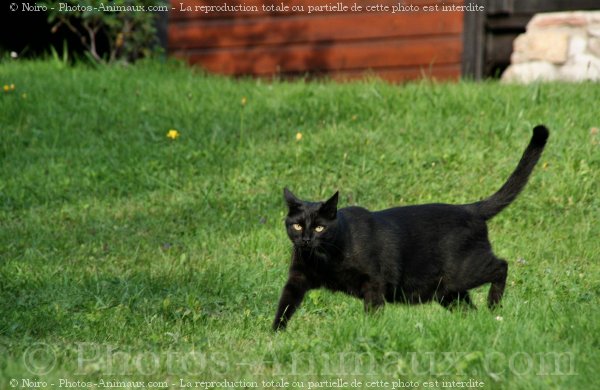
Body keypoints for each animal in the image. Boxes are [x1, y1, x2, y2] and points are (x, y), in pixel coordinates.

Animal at [274, 124, 552, 330]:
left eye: (319, 228)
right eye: (297, 226)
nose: (306, 239)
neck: (323, 259)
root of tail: (469, 208)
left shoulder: (374, 283)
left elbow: (372, 311)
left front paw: (371, 333)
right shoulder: (297, 279)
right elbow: (284, 306)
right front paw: (276, 335)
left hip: (464, 273)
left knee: (501, 266)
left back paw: (493, 305)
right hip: (447, 291)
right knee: (468, 307)